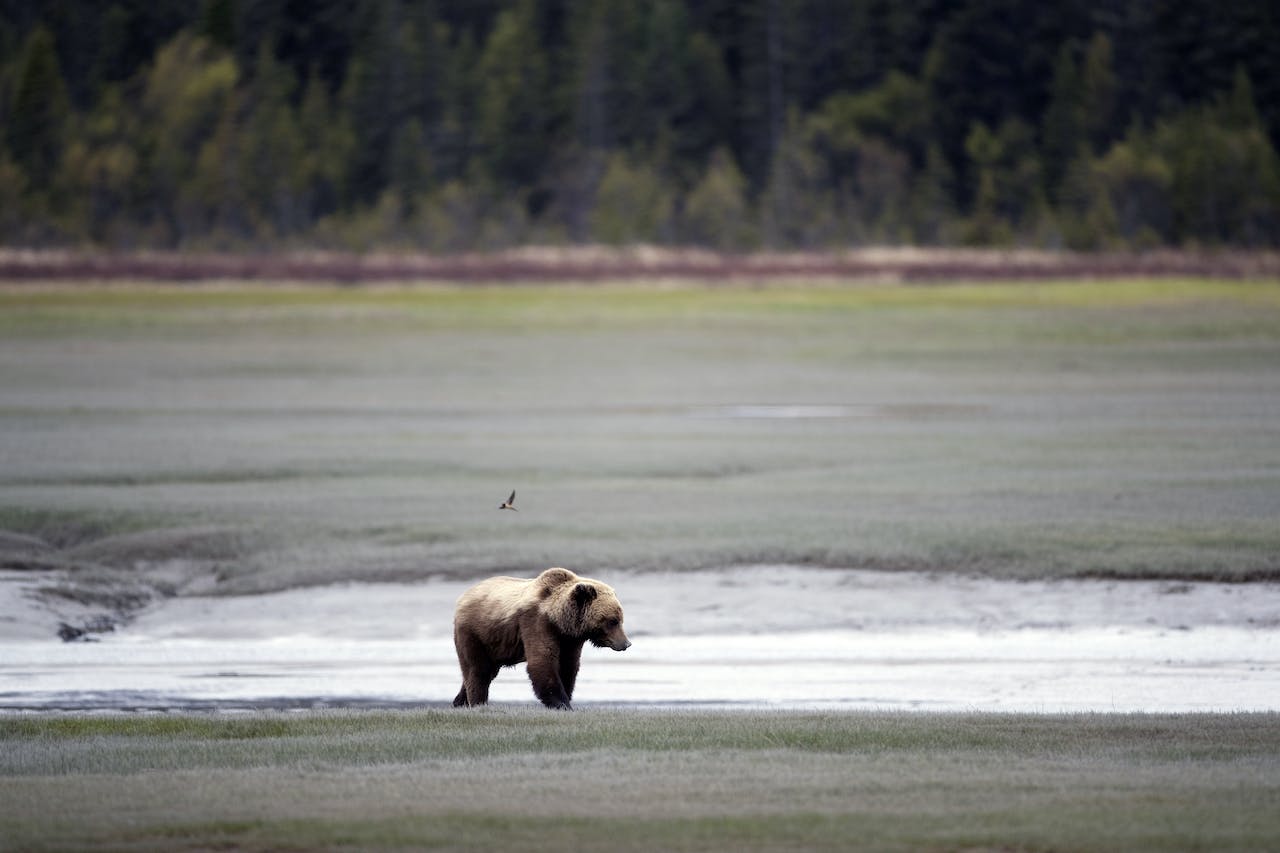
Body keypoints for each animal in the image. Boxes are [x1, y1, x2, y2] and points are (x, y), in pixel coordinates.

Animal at [453, 563, 632, 701]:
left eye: (620, 619)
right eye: (613, 621)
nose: (626, 643)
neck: (559, 620)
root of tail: (463, 596)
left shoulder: (569, 639)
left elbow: (568, 666)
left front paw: (566, 695)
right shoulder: (536, 623)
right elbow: (542, 663)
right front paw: (561, 703)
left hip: (494, 645)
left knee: (485, 671)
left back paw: (459, 701)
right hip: (474, 633)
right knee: (477, 670)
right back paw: (477, 701)